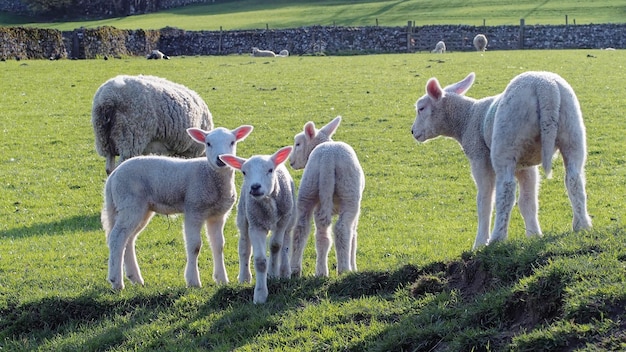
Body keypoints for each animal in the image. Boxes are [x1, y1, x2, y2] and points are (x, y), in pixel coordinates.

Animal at [101, 125, 252, 290]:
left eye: (232, 142)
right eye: (208, 143)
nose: (220, 159)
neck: (211, 176)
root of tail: (113, 175)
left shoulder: (218, 215)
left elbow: (218, 245)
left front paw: (222, 280)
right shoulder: (194, 209)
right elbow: (194, 246)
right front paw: (193, 281)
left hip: (141, 208)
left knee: (128, 239)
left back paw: (135, 278)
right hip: (129, 203)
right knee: (117, 238)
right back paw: (116, 281)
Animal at [218, 145, 296, 302]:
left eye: (270, 170)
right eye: (244, 172)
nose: (255, 187)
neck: (267, 202)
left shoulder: (282, 222)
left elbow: (276, 246)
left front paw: (273, 274)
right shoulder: (255, 226)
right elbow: (260, 261)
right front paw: (260, 294)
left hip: (290, 218)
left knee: (285, 243)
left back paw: (284, 272)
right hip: (243, 216)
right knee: (244, 246)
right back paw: (244, 277)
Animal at [288, 117, 364, 276]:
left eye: (298, 144)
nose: (291, 161)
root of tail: (328, 158)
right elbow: (354, 235)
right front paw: (354, 266)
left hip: (309, 187)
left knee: (303, 229)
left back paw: (306, 270)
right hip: (349, 195)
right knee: (342, 229)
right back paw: (344, 269)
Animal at [410, 71, 588, 250]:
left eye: (421, 108)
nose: (412, 132)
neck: (467, 118)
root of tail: (546, 88)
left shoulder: (479, 156)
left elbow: (484, 201)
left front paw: (480, 242)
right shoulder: (525, 166)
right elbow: (528, 201)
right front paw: (534, 235)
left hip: (507, 140)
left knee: (506, 190)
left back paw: (497, 237)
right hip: (572, 131)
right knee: (574, 179)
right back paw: (582, 226)